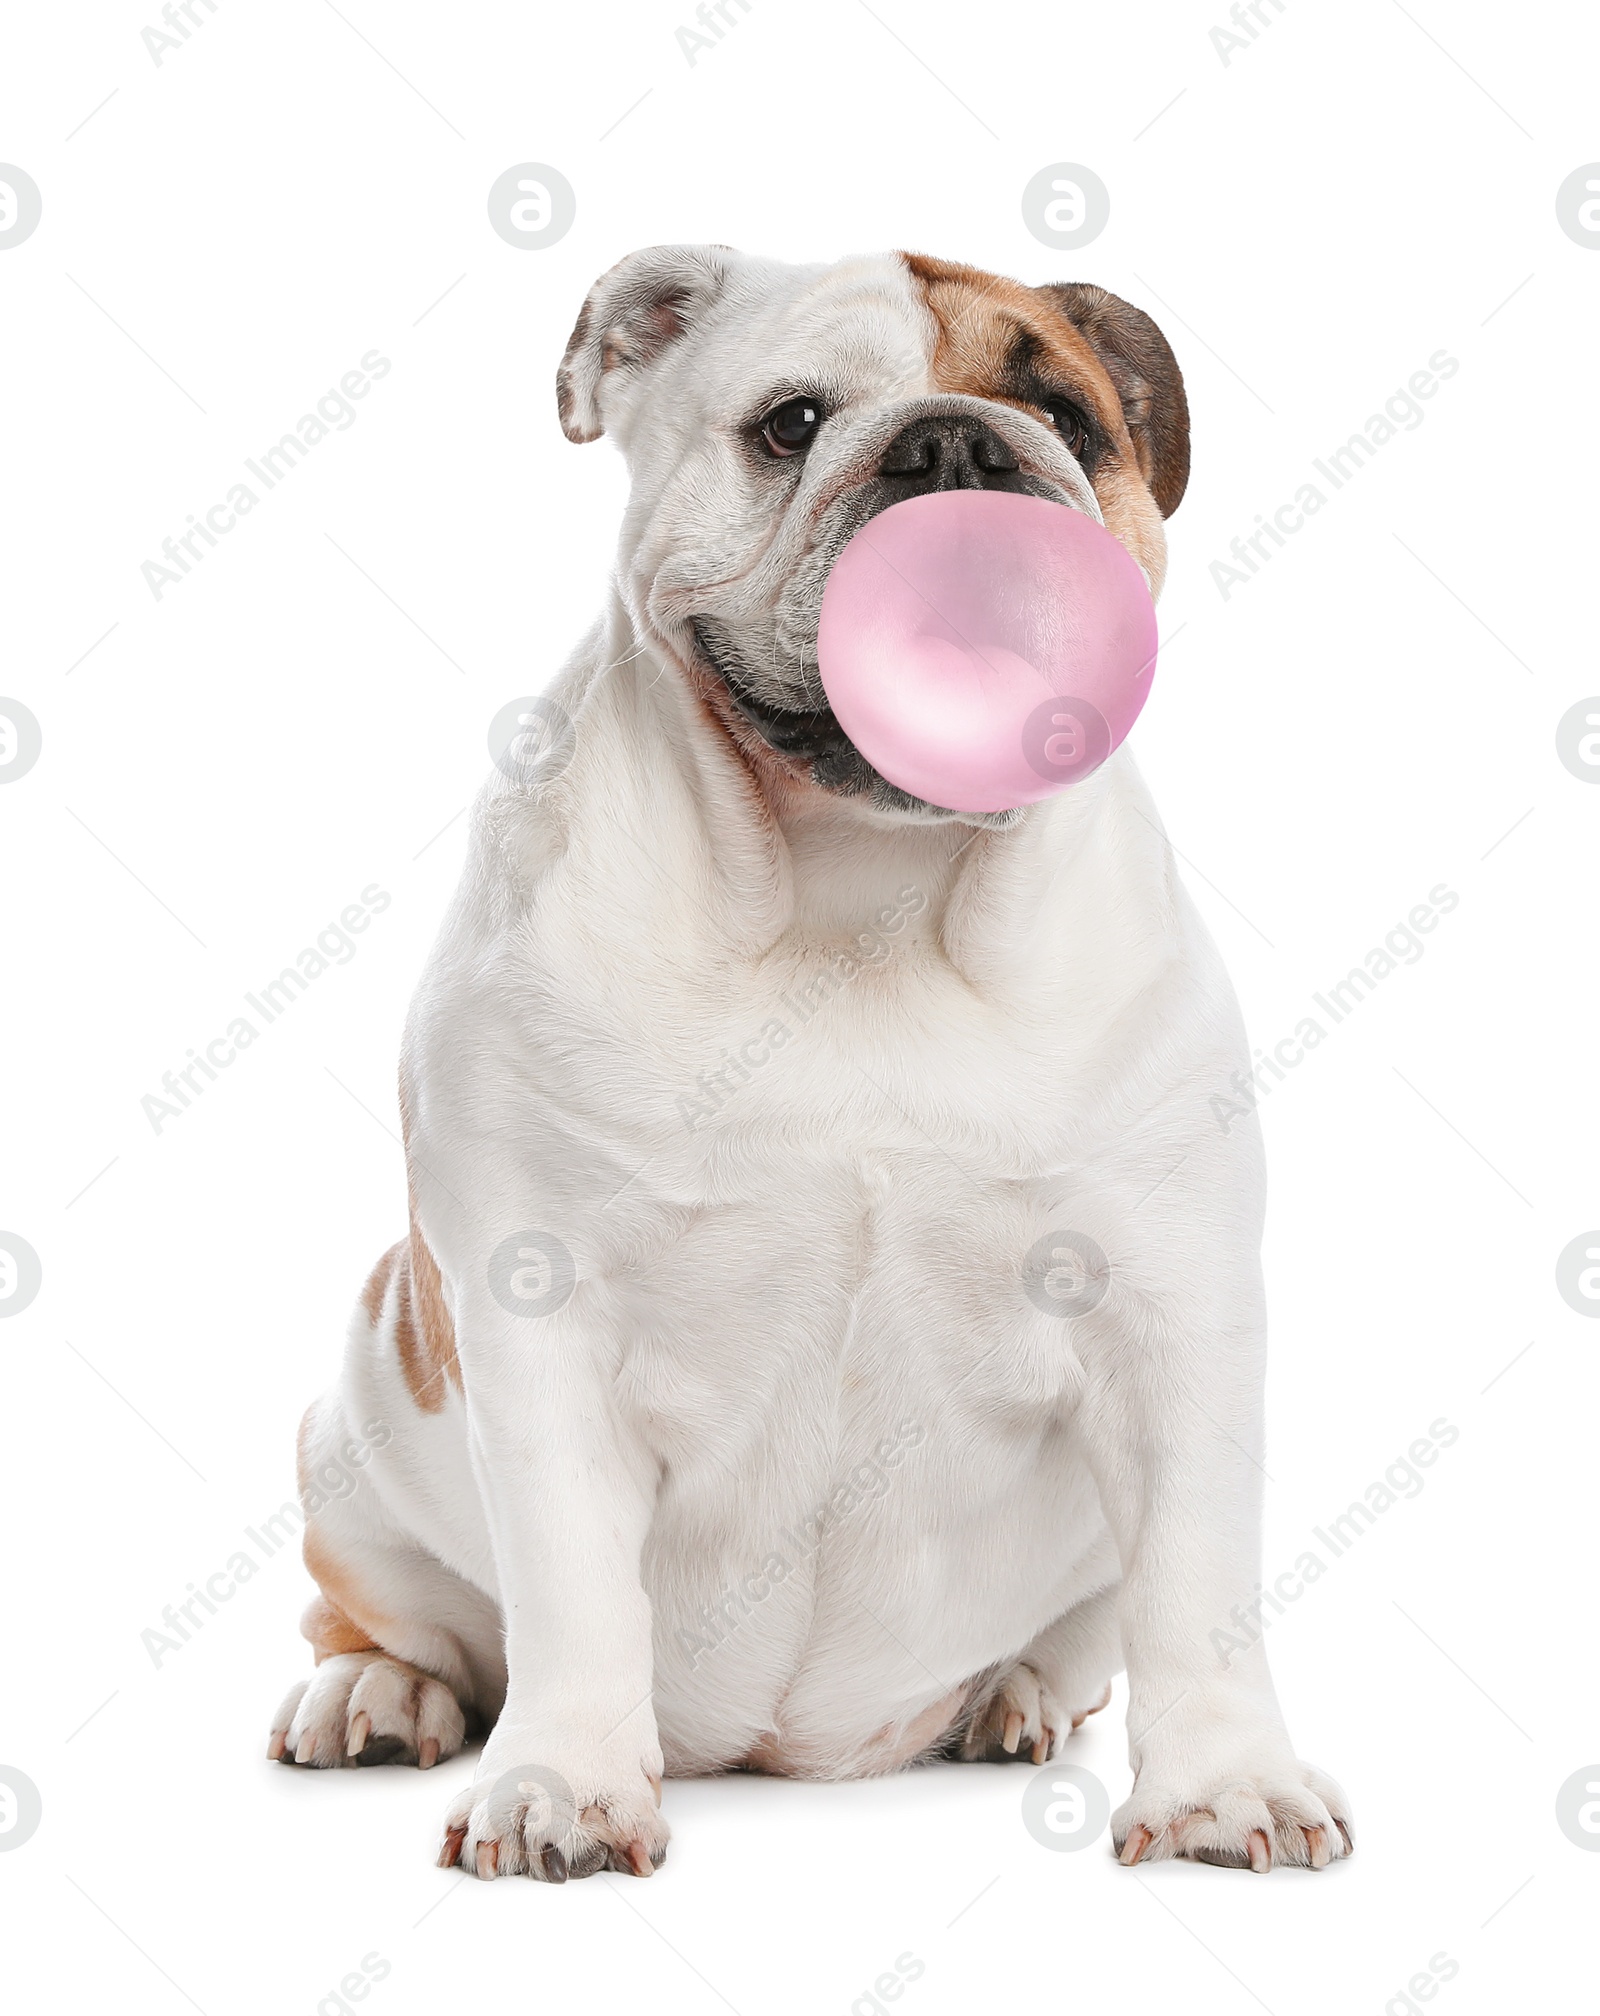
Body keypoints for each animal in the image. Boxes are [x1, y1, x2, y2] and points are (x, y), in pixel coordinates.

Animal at [272, 243, 1346, 1878]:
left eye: (1066, 419)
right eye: (791, 424)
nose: (959, 447)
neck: (865, 898)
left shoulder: (1172, 1316)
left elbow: (1196, 1584)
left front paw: (1227, 1783)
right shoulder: (540, 1320)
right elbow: (572, 1589)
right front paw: (563, 1786)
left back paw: (1013, 1696)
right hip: (355, 1430)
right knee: (404, 1617)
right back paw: (378, 1696)